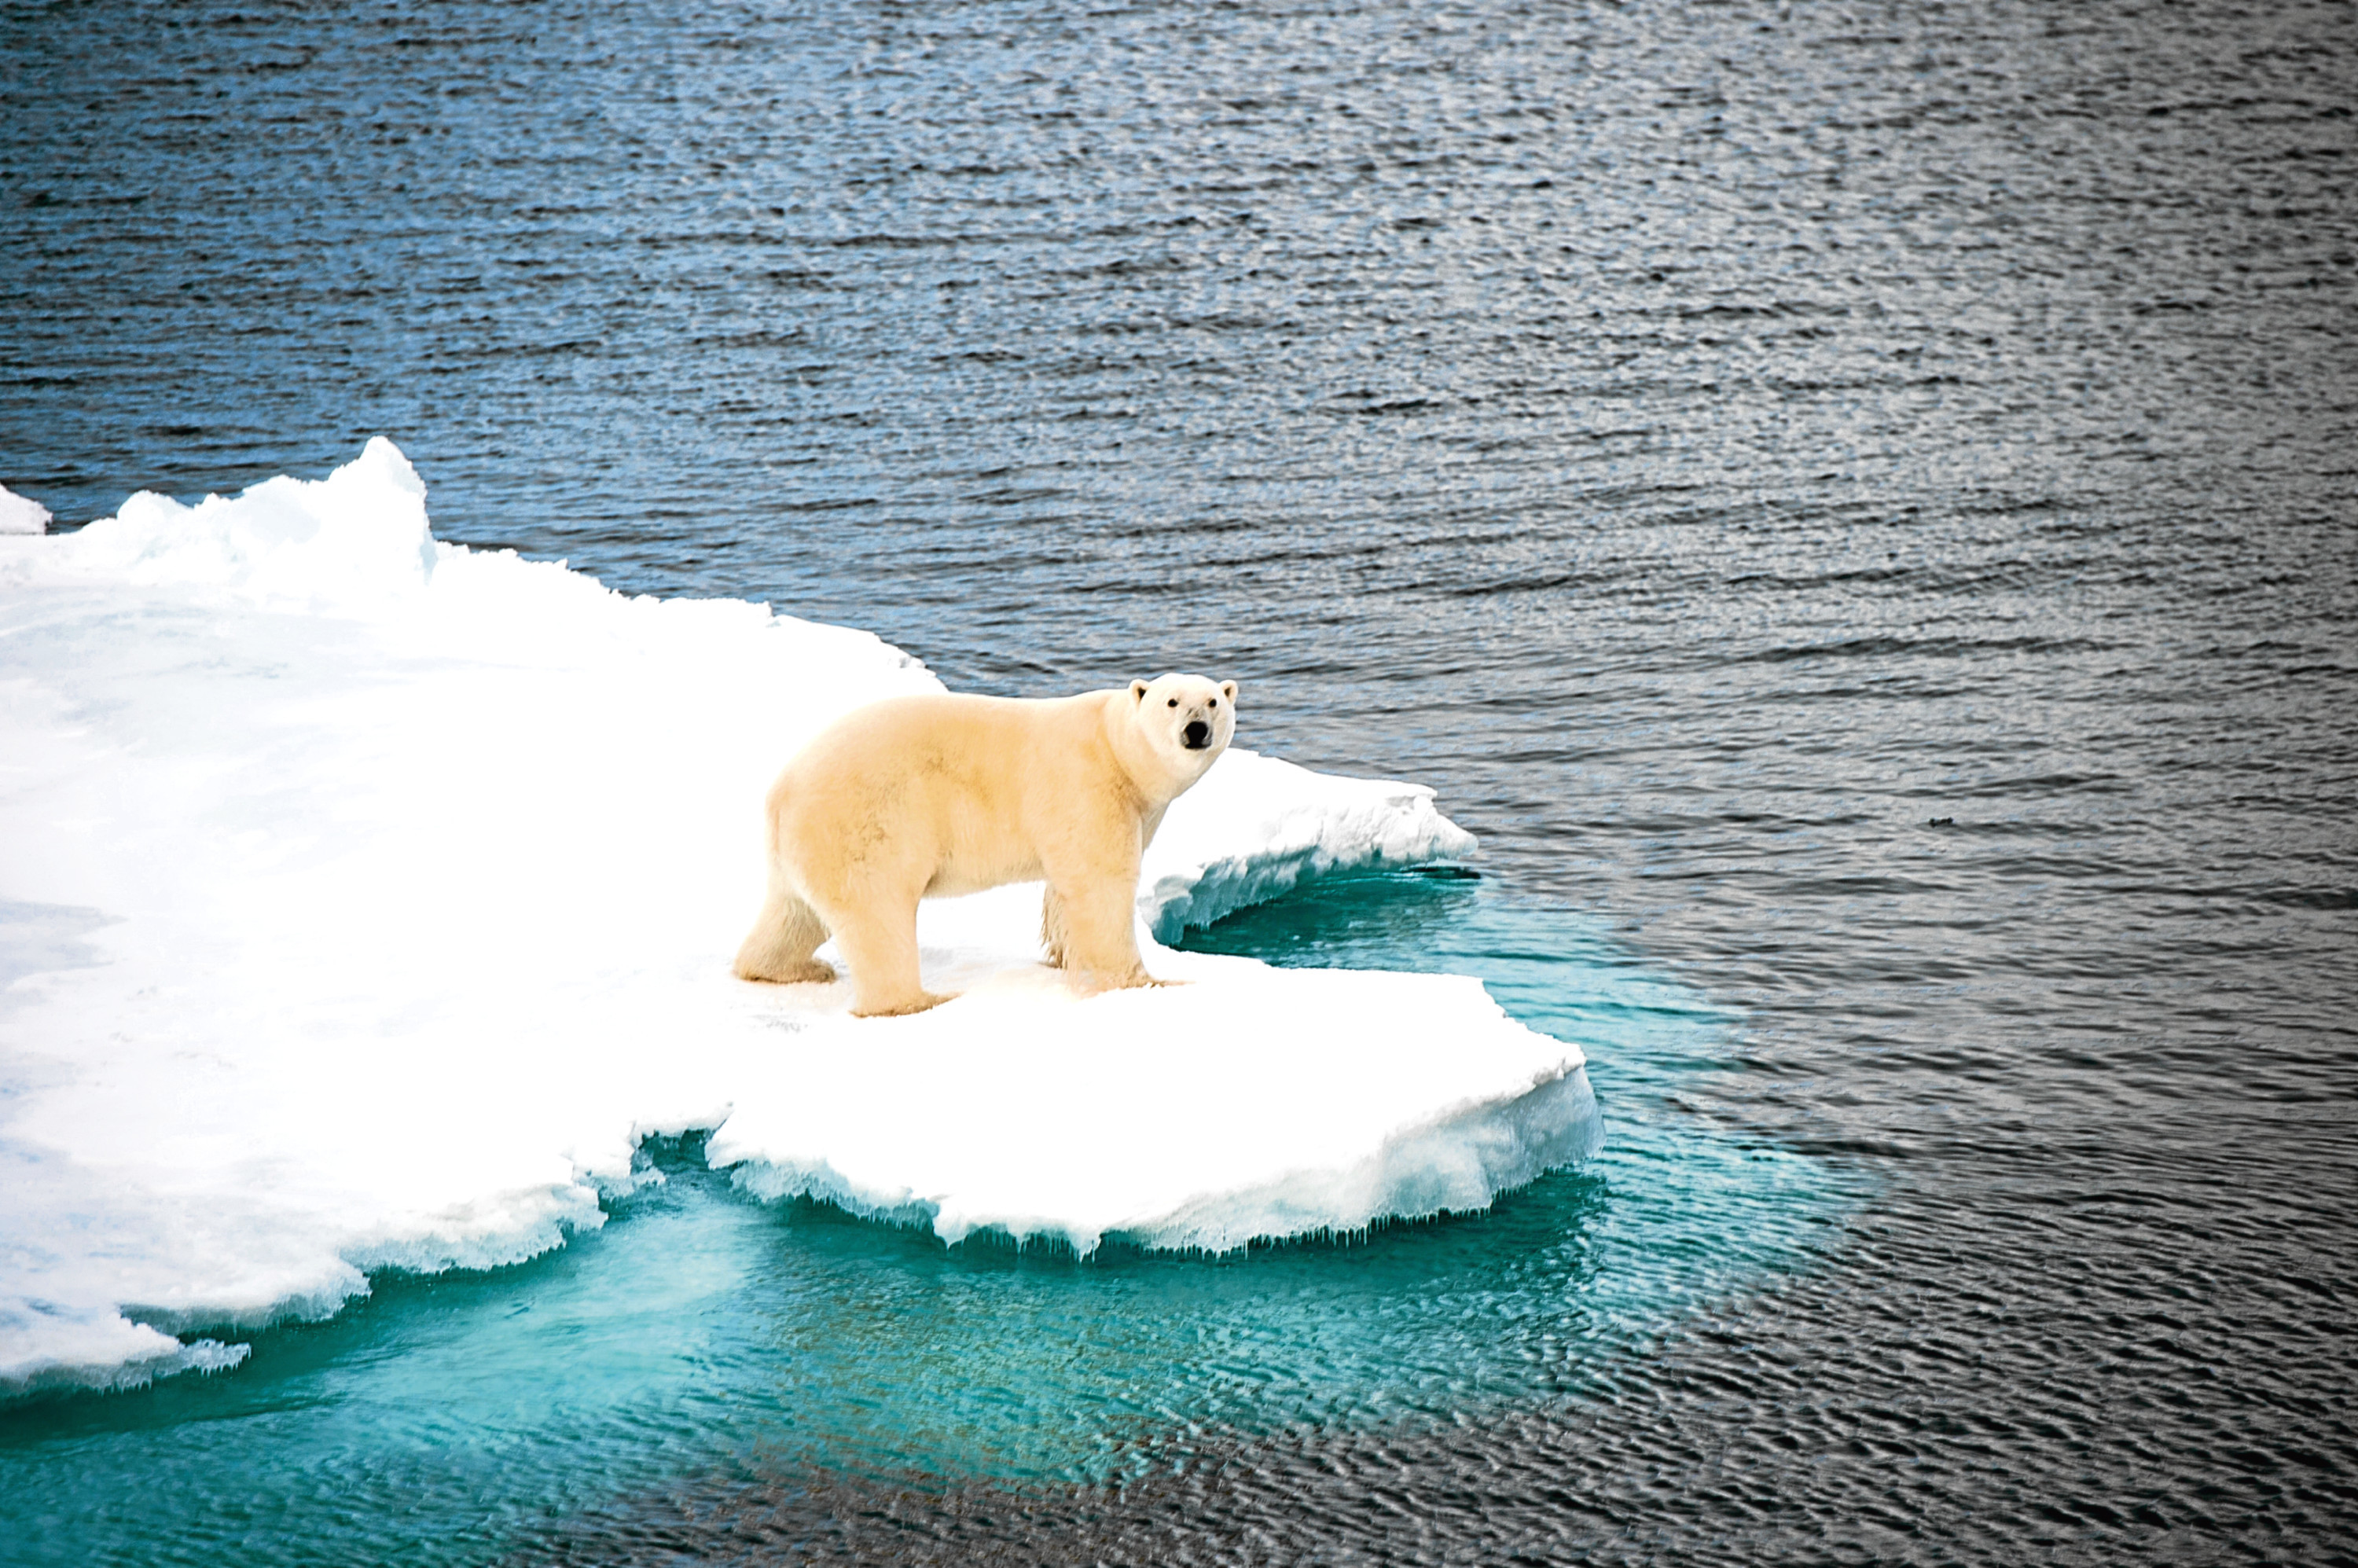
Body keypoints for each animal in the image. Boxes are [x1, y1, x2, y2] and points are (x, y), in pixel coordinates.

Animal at [736, 670, 1245, 1014]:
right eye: (1172, 702)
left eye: (1213, 702)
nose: (1196, 729)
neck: (1116, 748)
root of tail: (781, 792)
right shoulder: (1088, 786)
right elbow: (1100, 885)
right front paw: (1147, 982)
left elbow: (1063, 891)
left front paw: (1061, 957)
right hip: (862, 823)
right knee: (877, 915)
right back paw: (921, 1000)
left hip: (805, 844)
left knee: (794, 914)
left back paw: (789, 969)